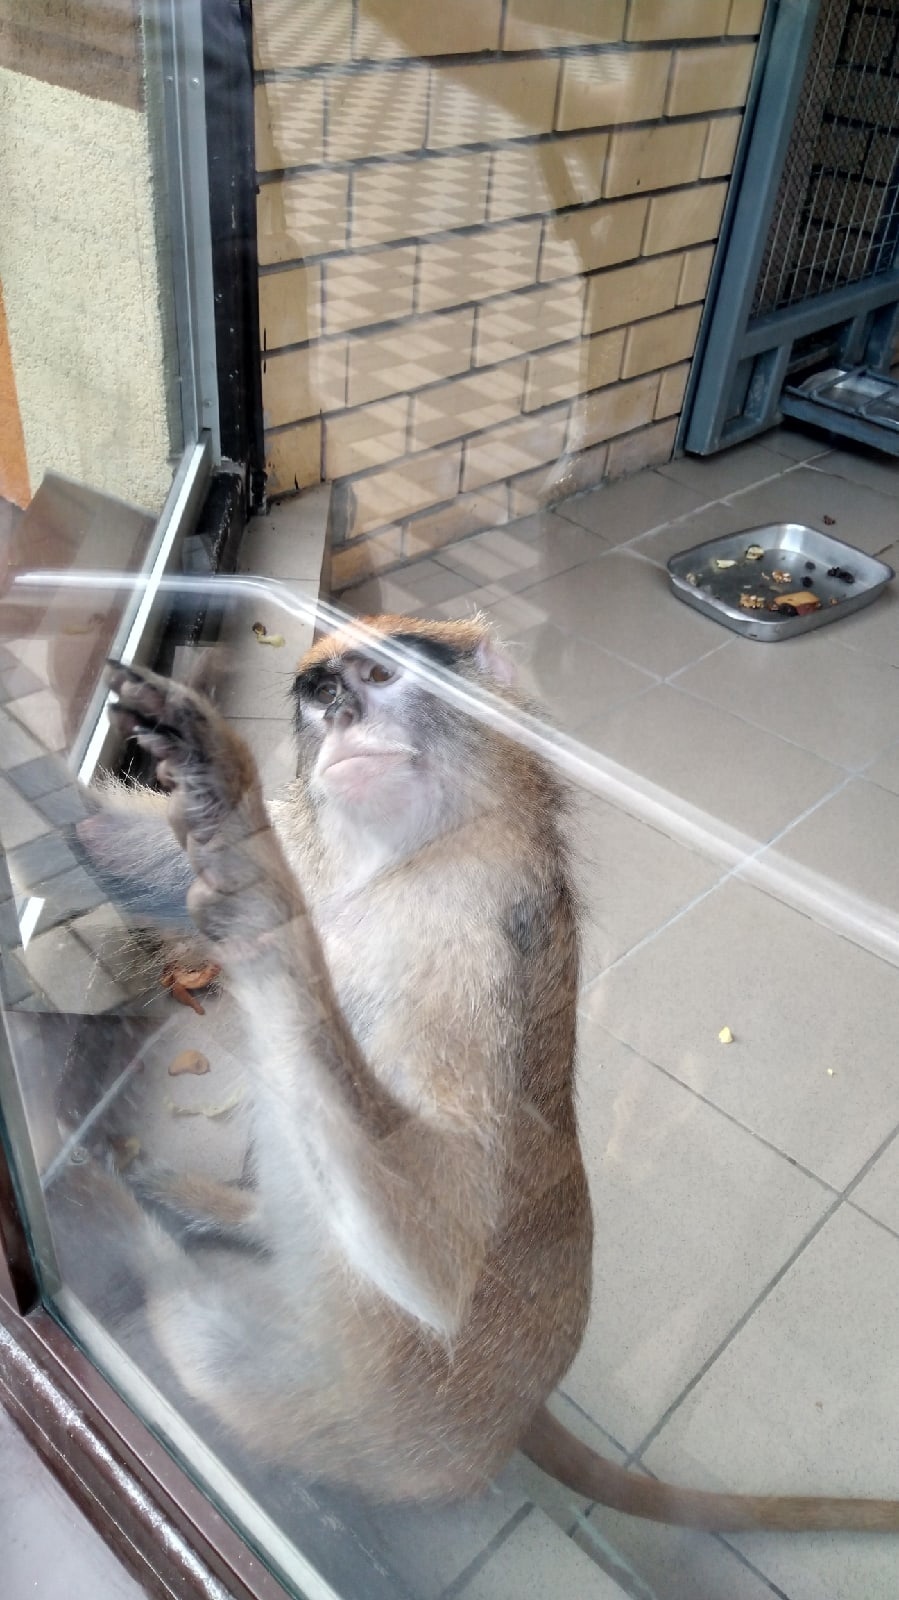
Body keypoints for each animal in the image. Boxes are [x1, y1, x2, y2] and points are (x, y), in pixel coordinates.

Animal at [68, 612, 899, 1534]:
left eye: (378, 676)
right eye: (321, 694)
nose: (342, 720)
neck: (402, 861)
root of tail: (520, 1407)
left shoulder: (472, 942)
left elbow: (436, 1263)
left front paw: (239, 857)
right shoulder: (317, 842)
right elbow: (108, 844)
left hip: (388, 1423)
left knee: (223, 1346)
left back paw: (119, 1231)